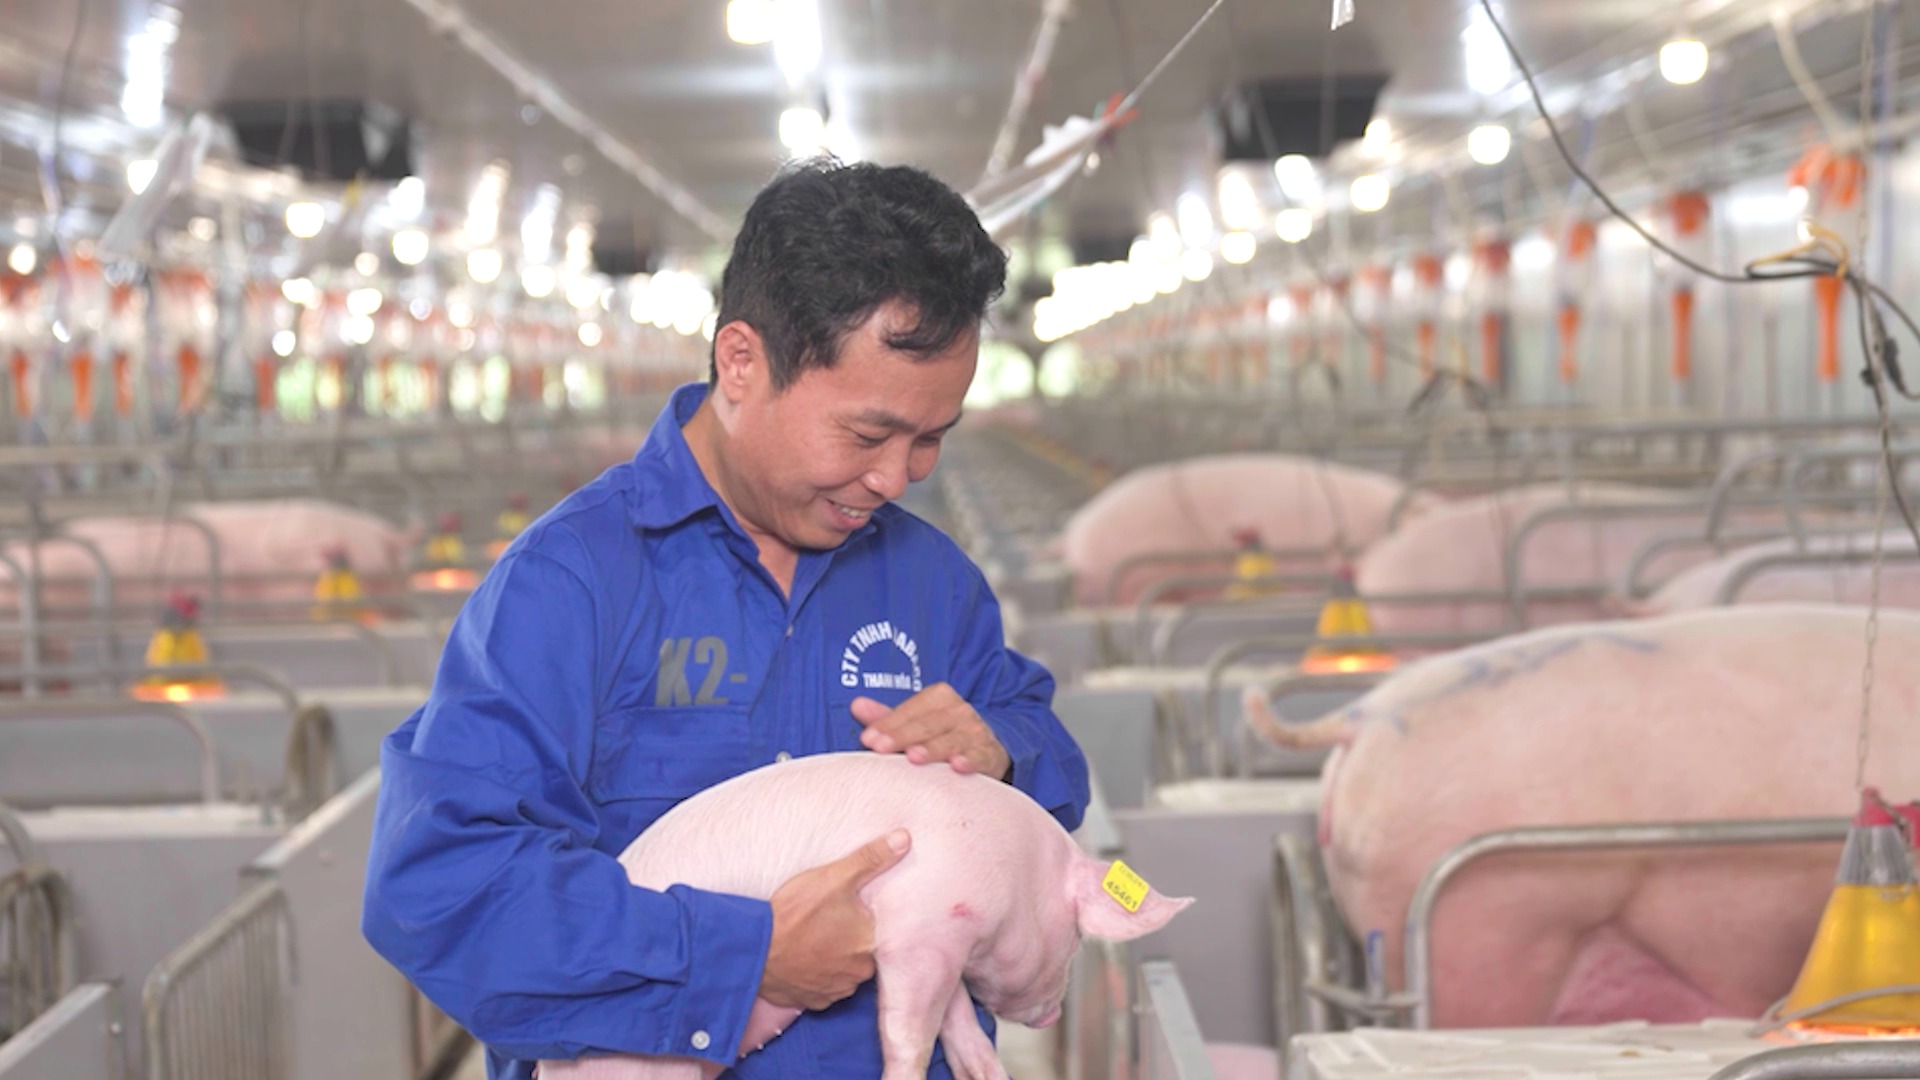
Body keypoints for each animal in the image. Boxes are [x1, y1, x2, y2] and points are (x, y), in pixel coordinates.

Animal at [537, 752, 1193, 1080]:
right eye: (1078, 938)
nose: (1054, 1013)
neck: (1014, 865)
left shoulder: (939, 942)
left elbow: (953, 1016)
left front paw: (986, 1073)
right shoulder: (920, 929)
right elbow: (907, 1030)